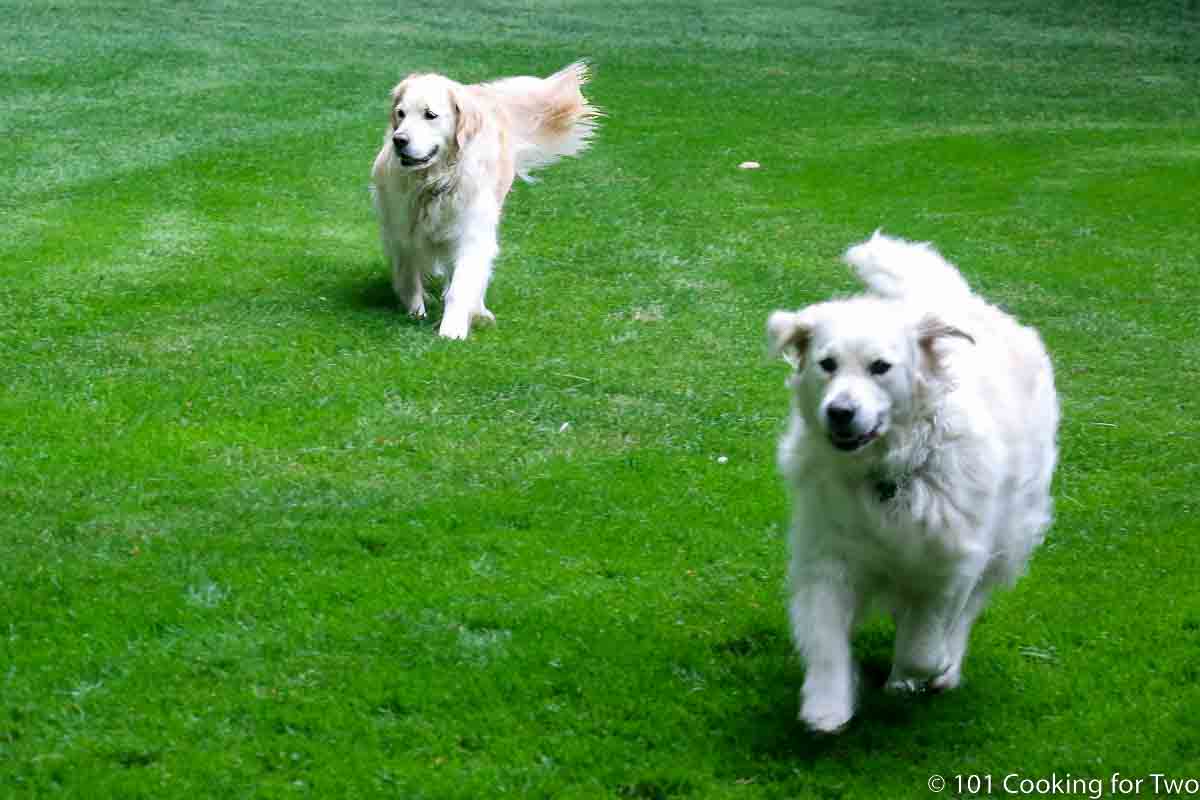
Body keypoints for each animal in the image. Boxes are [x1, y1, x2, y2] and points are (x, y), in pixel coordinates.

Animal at [369, 61, 600, 338]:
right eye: (401, 114)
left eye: (430, 115)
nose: (399, 140)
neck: (434, 182)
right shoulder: (400, 229)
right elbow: (408, 275)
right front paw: (416, 311)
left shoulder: (472, 231)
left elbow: (462, 284)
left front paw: (452, 329)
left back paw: (479, 311)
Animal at [768, 231, 1060, 734]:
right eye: (827, 364)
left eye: (880, 367)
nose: (839, 412)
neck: (886, 474)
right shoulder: (828, 556)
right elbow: (825, 637)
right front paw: (827, 705)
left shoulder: (950, 562)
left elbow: (924, 644)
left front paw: (921, 670)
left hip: (1008, 539)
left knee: (968, 611)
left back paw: (942, 670)